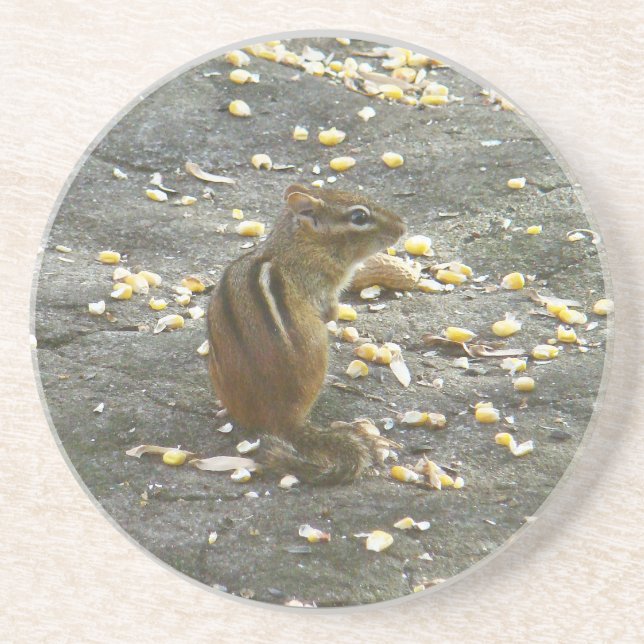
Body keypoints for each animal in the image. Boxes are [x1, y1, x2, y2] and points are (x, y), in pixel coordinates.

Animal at [207, 183, 406, 484]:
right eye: (359, 217)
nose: (402, 227)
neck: (299, 245)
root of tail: (283, 418)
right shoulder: (323, 287)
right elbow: (331, 311)